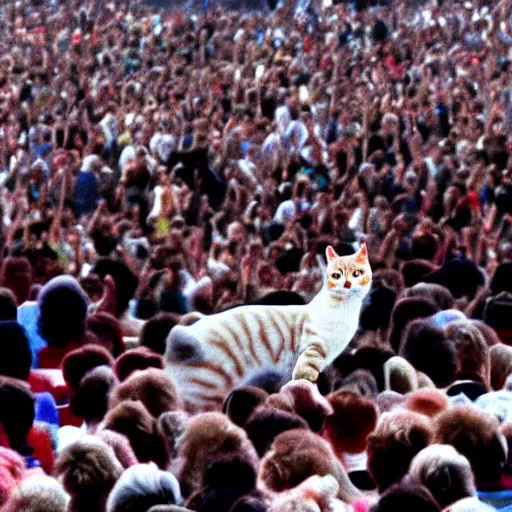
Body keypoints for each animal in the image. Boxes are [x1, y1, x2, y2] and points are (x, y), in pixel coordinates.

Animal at [165, 243, 372, 412]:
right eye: (336, 275)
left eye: (357, 273)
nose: (347, 284)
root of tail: (180, 335)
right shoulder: (314, 348)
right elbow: (306, 373)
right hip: (205, 395)